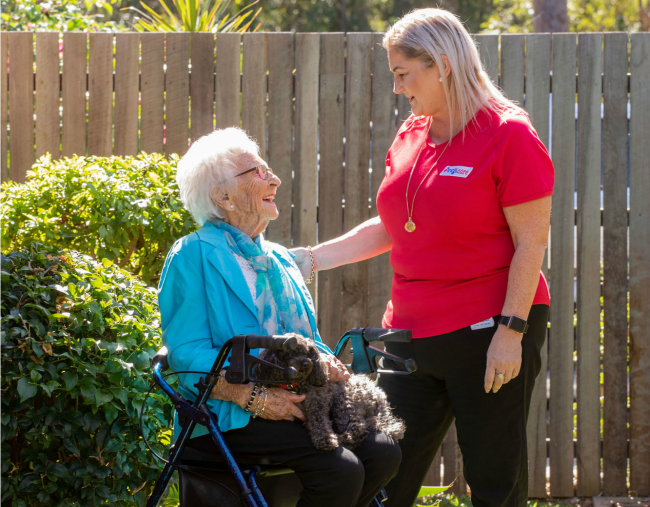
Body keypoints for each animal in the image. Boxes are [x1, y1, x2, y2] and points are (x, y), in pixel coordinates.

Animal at [254, 336, 402, 450]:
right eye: (290, 353)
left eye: (308, 353)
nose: (306, 364)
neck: (297, 385)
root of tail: (377, 393)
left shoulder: (317, 405)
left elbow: (320, 424)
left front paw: (326, 440)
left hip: (343, 404)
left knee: (357, 429)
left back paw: (341, 439)